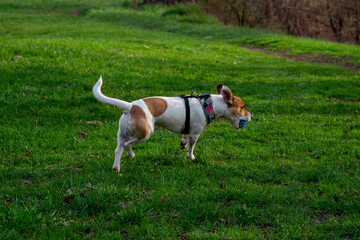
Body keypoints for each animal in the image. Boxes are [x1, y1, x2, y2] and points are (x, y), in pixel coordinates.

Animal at [91, 76, 252, 172]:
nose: (251, 116)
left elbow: (184, 138)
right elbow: (191, 148)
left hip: (122, 133)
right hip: (146, 133)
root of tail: (131, 107)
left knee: (119, 149)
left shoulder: (187, 130)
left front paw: (182, 144)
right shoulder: (195, 134)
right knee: (127, 145)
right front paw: (191, 157)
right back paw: (130, 155)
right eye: (243, 106)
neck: (209, 104)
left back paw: (116, 168)